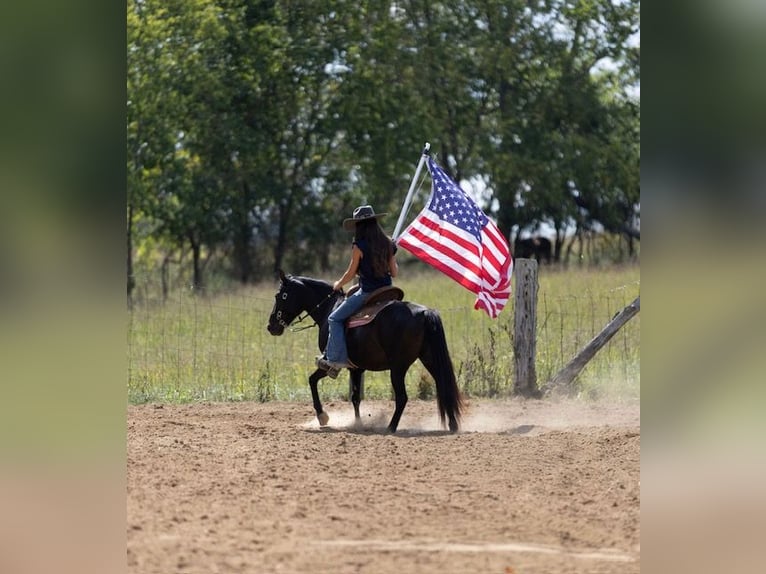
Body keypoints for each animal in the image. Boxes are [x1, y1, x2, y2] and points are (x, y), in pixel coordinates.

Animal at [266, 270, 463, 433]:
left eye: (279, 295)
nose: (271, 326)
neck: (329, 308)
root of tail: (424, 312)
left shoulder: (331, 363)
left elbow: (312, 380)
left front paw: (323, 416)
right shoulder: (356, 368)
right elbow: (355, 397)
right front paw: (358, 423)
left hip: (398, 367)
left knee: (402, 397)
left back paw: (391, 428)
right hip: (429, 359)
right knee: (443, 386)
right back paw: (453, 425)